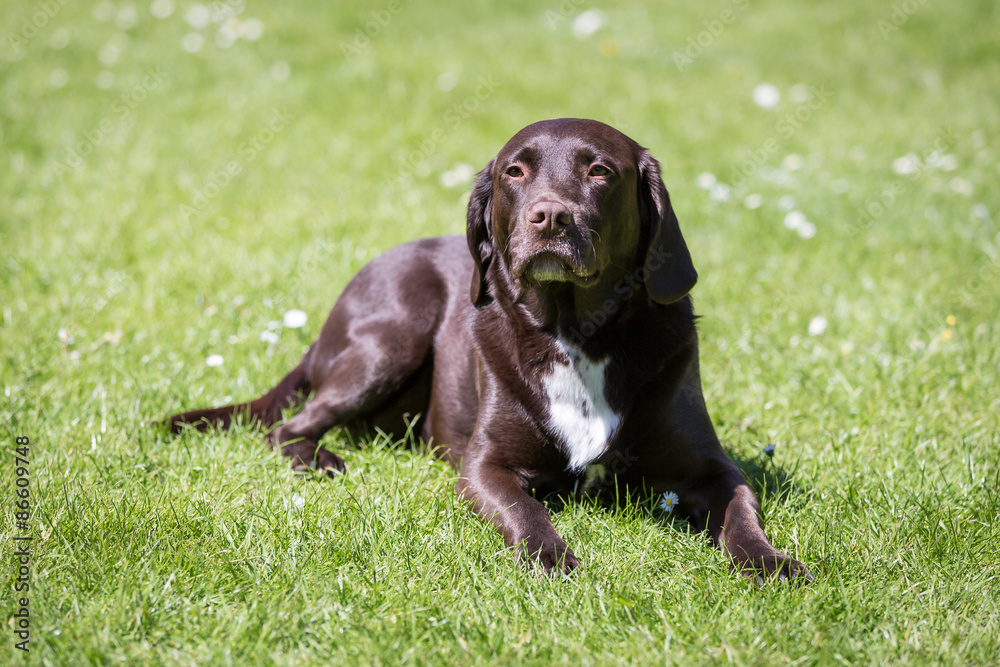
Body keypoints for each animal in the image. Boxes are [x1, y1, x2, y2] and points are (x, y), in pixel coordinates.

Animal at [170, 120, 812, 584]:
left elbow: (741, 509)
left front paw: (771, 561)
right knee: (287, 427)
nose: (550, 216)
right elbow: (526, 510)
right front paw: (551, 558)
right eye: (515, 171)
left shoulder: (711, 467)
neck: (577, 334)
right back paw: (319, 460)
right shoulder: (485, 467)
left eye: (601, 171)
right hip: (390, 338)